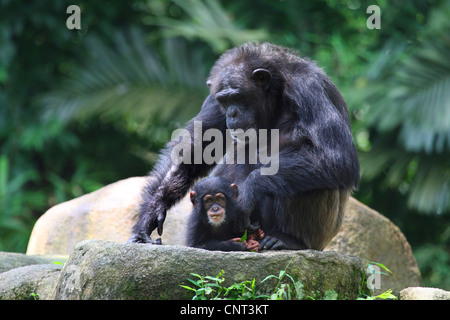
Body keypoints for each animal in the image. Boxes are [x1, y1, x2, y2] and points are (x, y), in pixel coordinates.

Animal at [128, 41, 360, 250]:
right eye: (224, 100)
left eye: (237, 96)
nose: (231, 113)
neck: (276, 96)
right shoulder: (212, 99)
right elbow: (194, 150)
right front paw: (150, 215)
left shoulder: (310, 88)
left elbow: (336, 157)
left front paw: (249, 190)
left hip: (318, 236)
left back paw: (288, 240)